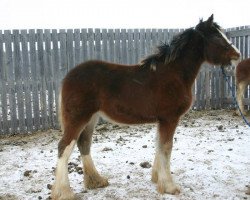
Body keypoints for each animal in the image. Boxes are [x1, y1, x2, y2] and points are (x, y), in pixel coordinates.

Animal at [50, 14, 240, 199]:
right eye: (217, 37)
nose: (237, 55)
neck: (174, 74)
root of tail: (68, 77)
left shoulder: (162, 120)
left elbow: (159, 145)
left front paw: (157, 178)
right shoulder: (169, 119)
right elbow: (166, 147)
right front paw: (169, 186)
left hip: (92, 118)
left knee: (83, 143)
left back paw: (96, 181)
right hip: (78, 118)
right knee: (64, 146)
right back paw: (64, 192)